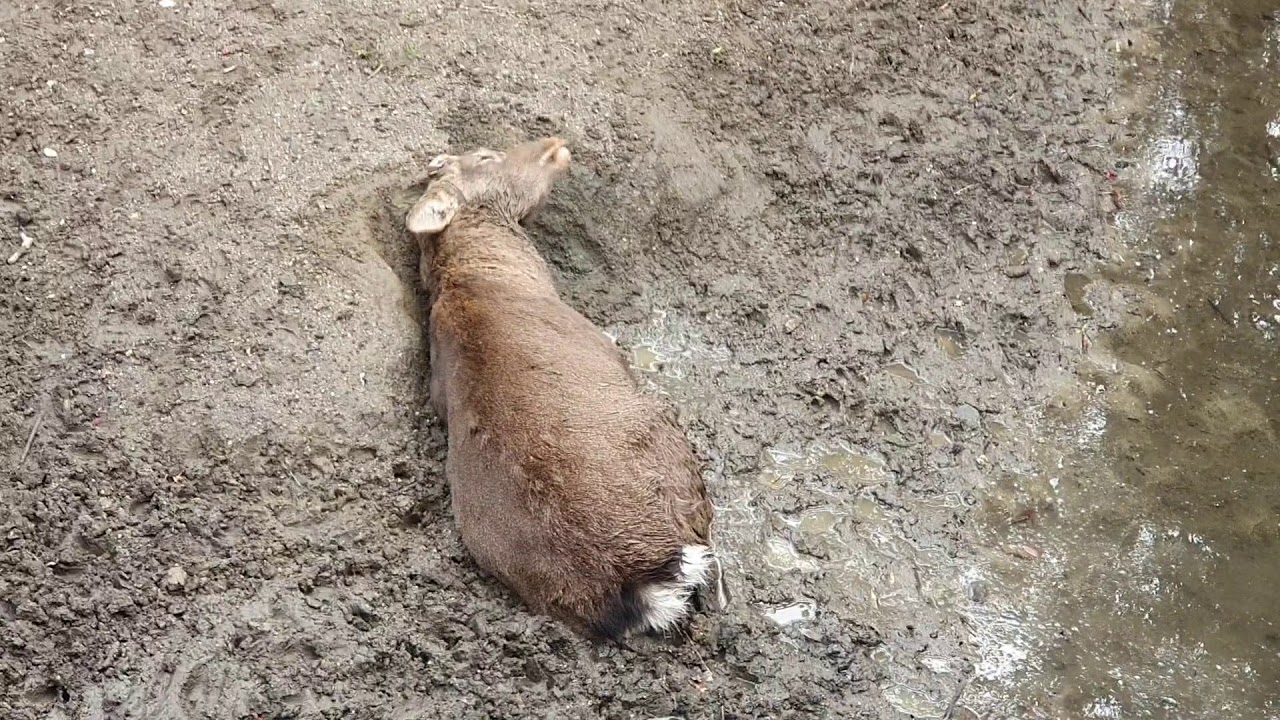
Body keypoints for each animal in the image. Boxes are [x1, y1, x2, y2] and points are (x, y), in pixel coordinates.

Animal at [404, 136, 729, 642]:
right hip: (664, 431)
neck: (484, 273)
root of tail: (632, 580)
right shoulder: (610, 347)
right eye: (486, 157)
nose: (553, 143)